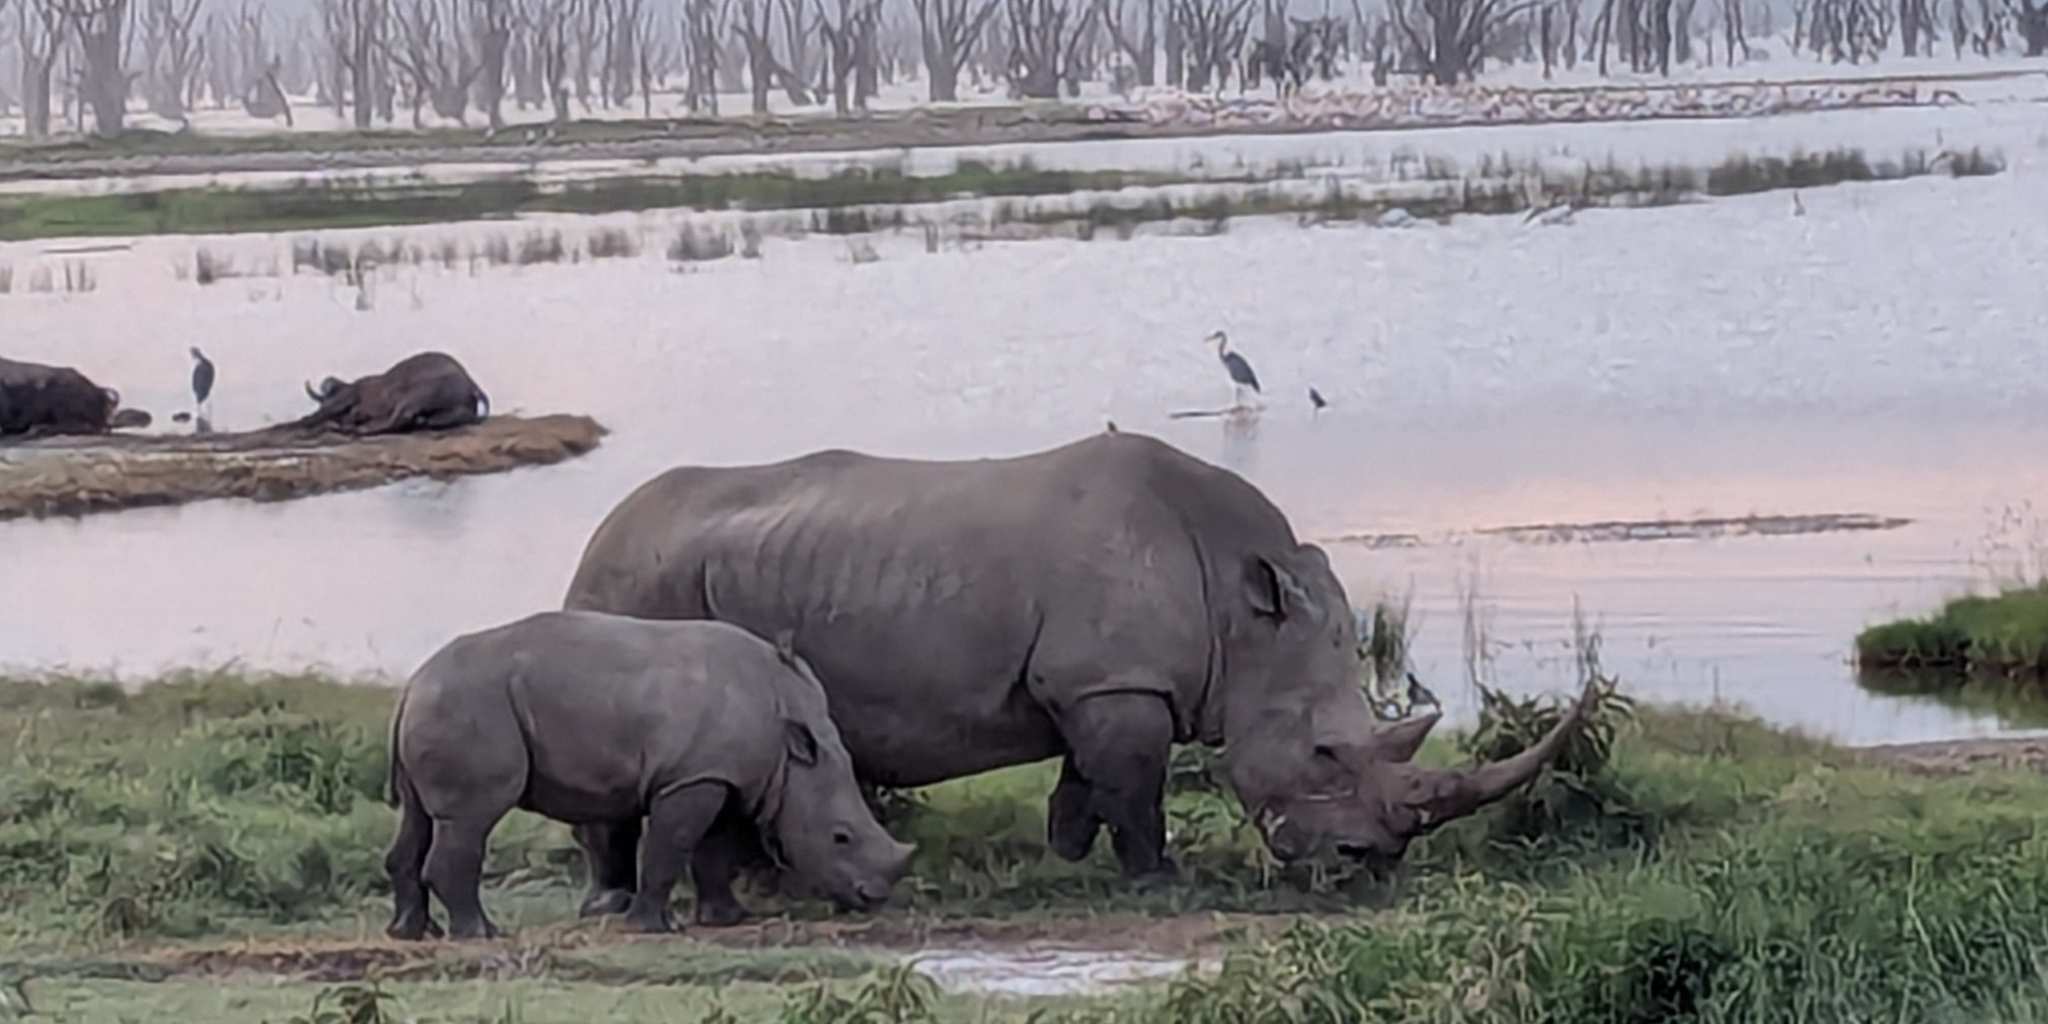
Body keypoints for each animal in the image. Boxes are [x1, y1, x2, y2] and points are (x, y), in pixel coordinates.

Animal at [383, 610, 915, 940]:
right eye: (841, 837)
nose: (875, 897)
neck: (791, 749)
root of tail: (411, 685)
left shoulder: (719, 774)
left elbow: (712, 850)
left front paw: (727, 919)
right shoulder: (690, 777)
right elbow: (669, 847)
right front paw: (652, 927)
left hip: (444, 704)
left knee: (419, 817)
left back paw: (412, 933)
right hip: (470, 705)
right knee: (471, 818)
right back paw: (481, 934)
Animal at [562, 431, 1594, 893]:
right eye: (1326, 755)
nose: (1366, 862)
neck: (1242, 608)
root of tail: (598, 532)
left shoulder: (1096, 683)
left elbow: (1086, 777)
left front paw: (1064, 847)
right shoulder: (1116, 682)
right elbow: (1135, 787)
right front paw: (1156, 879)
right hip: (637, 583)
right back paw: (622, 895)